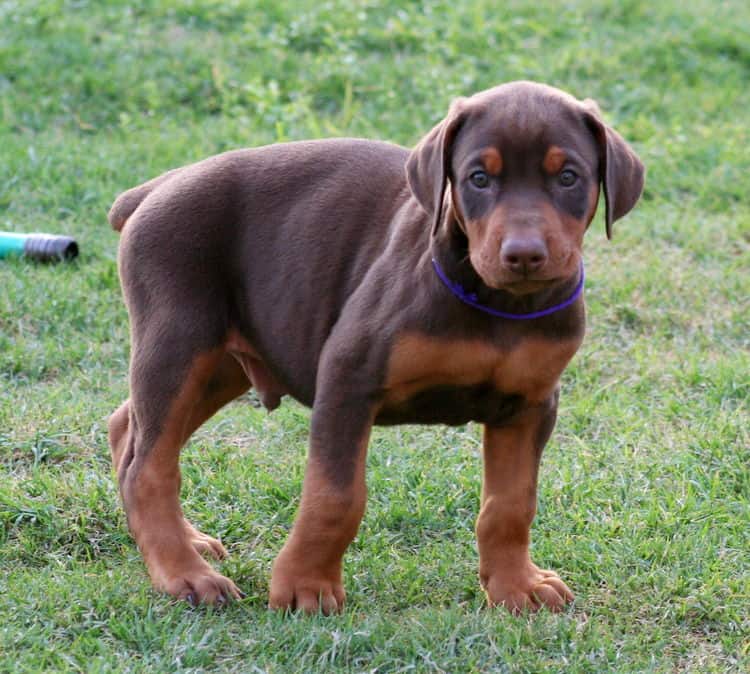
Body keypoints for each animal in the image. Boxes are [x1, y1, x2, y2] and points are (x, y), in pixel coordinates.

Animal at [107, 81, 648, 612]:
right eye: (478, 178)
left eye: (568, 177)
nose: (524, 255)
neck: (497, 303)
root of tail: (155, 187)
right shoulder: (348, 378)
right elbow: (336, 495)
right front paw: (306, 586)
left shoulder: (531, 405)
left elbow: (511, 504)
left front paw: (517, 585)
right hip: (180, 341)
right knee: (148, 466)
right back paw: (184, 573)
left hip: (225, 361)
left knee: (127, 428)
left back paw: (178, 542)